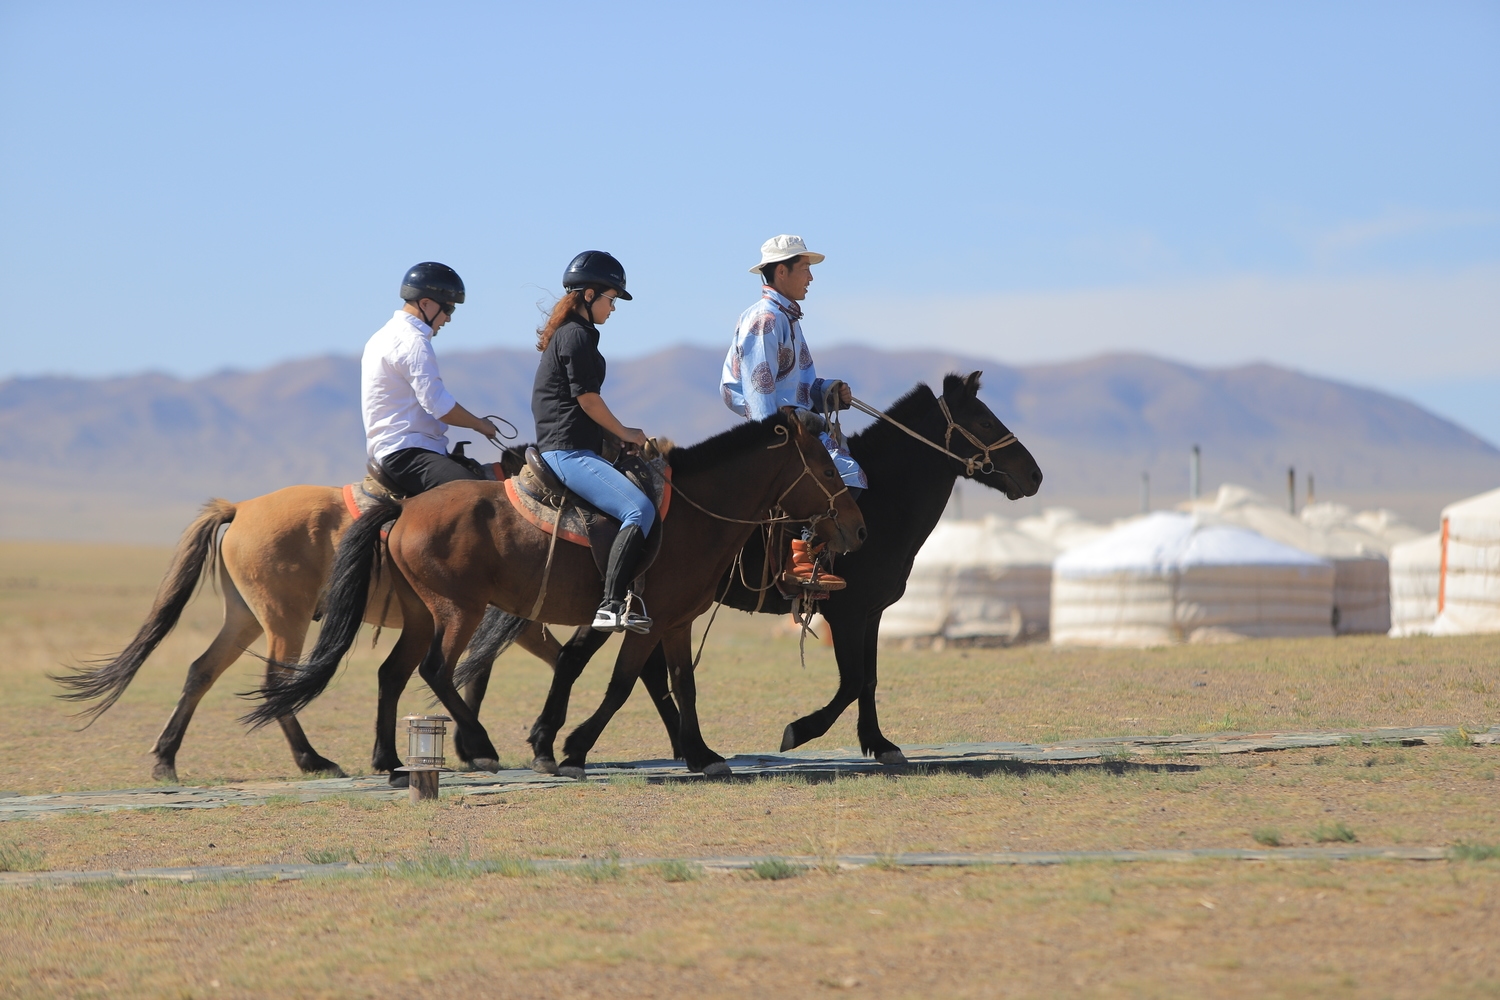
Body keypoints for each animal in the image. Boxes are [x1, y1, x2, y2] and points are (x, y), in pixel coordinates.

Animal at [51, 475, 563, 784]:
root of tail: (240, 508)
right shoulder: (513, 618)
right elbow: (541, 662)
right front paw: (485, 746)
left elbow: (481, 673)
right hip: (285, 618)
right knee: (275, 682)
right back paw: (313, 759)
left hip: (245, 617)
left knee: (202, 671)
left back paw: (164, 759)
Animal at [245, 408, 868, 777]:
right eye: (826, 470)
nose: (858, 529)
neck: (692, 514)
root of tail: (403, 508)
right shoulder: (645, 621)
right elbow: (619, 684)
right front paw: (571, 747)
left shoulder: (674, 622)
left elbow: (679, 685)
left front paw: (700, 754)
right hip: (458, 611)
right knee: (436, 670)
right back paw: (480, 746)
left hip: (423, 613)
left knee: (393, 673)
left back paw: (390, 760)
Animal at [458, 372, 1042, 771]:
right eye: (984, 420)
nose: (1034, 475)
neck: (882, 498)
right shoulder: (848, 610)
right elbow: (853, 679)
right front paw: (799, 731)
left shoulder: (870, 612)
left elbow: (869, 679)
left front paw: (879, 744)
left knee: (580, 658)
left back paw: (558, 742)